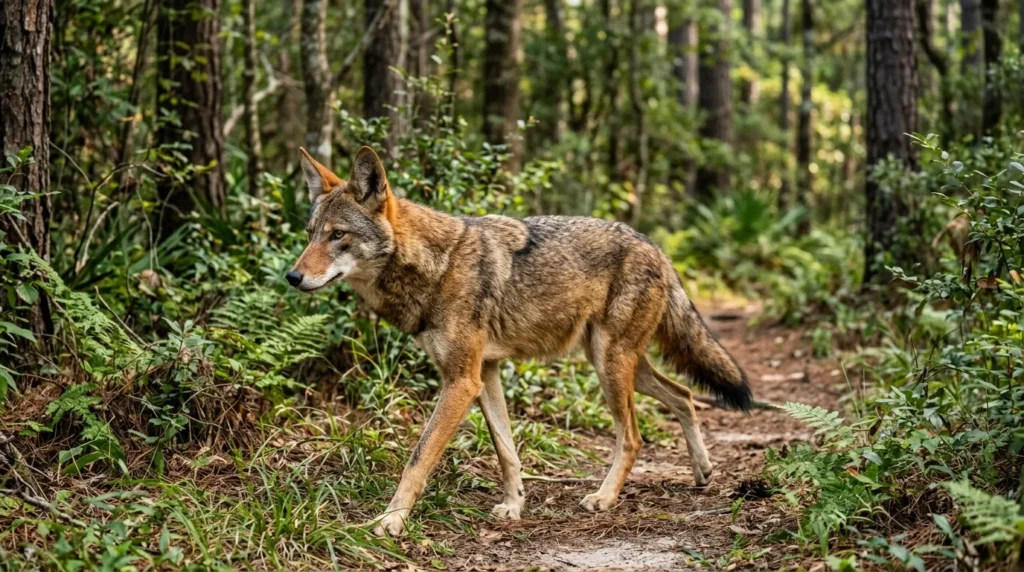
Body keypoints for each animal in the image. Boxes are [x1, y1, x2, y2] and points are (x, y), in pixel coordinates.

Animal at [287, 146, 752, 536]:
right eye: (310, 233)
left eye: (338, 235)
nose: (292, 276)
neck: (436, 266)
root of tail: (656, 247)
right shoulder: (485, 374)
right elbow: (506, 451)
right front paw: (514, 506)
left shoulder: (461, 381)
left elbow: (417, 459)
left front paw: (390, 521)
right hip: (619, 364)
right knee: (685, 395)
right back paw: (702, 472)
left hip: (610, 366)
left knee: (634, 436)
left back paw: (605, 497)